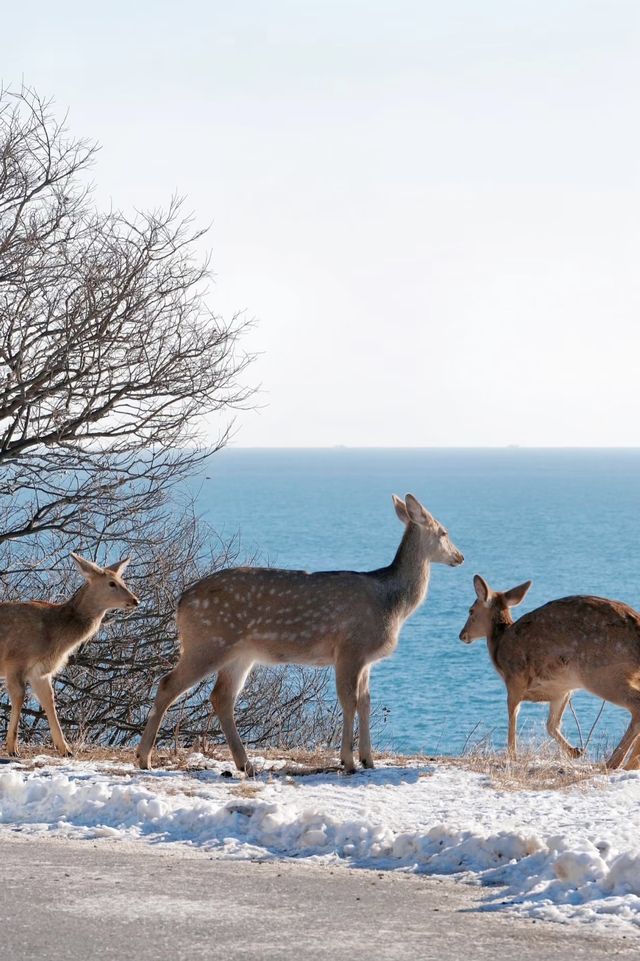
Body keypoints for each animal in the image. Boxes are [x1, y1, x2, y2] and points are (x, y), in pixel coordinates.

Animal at [0, 556, 139, 756]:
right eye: (112, 583)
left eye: (123, 581)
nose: (135, 600)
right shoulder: (15, 662)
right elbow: (19, 699)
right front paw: (12, 749)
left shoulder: (40, 672)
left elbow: (50, 701)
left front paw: (65, 749)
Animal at [138, 496, 462, 772]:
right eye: (444, 532)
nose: (460, 556)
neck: (392, 604)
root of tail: (180, 602)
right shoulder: (350, 648)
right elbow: (349, 701)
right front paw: (348, 761)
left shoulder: (366, 659)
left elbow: (366, 702)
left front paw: (368, 760)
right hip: (207, 643)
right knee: (168, 684)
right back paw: (144, 758)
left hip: (239, 654)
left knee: (221, 697)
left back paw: (245, 764)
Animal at [460, 572, 640, 768]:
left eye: (471, 610)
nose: (462, 635)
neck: (499, 647)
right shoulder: (562, 690)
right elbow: (552, 725)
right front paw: (576, 751)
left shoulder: (515, 679)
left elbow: (513, 716)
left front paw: (512, 755)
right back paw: (629, 764)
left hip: (602, 673)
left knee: (636, 704)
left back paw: (614, 762)